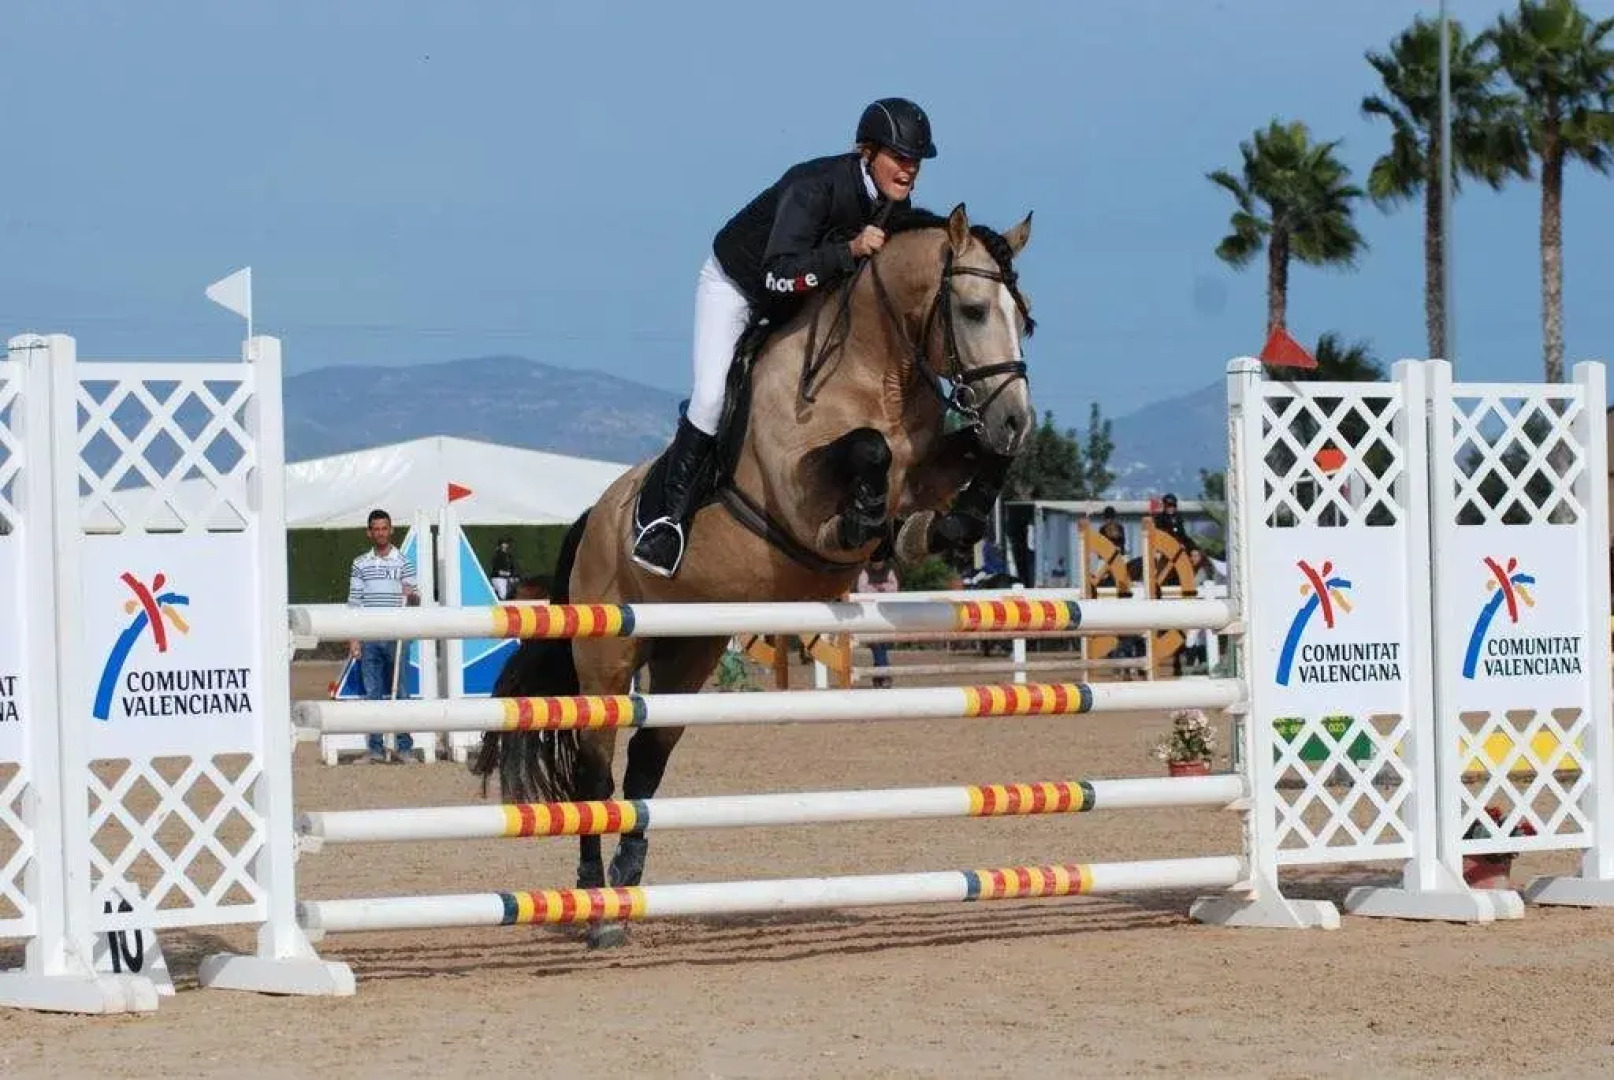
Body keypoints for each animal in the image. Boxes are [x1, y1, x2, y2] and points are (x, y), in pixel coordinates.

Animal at [471, 202, 1037, 948]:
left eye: (1024, 317)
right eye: (971, 310)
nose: (1016, 420)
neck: (877, 371)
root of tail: (595, 515)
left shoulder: (929, 462)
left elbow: (961, 460)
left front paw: (940, 524)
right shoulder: (797, 486)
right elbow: (867, 451)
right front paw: (865, 523)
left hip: (688, 654)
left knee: (648, 760)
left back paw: (626, 881)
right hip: (607, 655)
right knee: (595, 773)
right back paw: (595, 904)